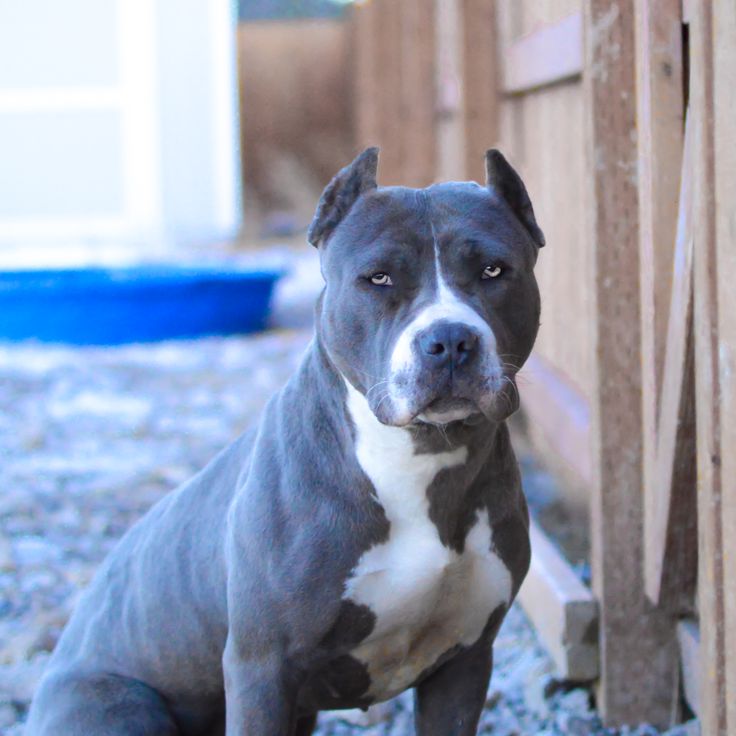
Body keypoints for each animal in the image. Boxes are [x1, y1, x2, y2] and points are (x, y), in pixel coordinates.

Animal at [25, 147, 544, 732]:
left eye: (493, 270)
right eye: (379, 278)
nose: (450, 339)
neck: (416, 460)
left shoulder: (464, 662)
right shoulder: (261, 667)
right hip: (120, 708)